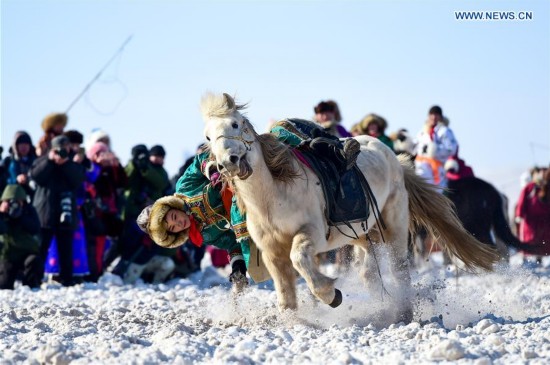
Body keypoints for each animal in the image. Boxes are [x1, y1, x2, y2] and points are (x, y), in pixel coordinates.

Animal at [202, 92, 500, 320]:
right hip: (363, 235)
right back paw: (382, 307)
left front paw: (330, 293)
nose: (227, 162)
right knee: (369, 274)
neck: (274, 195)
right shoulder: (271, 251)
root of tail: (395, 158)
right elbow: (285, 293)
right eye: (207, 136)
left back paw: (402, 314)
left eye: (236, 124)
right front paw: (293, 321)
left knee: (399, 271)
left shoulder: (311, 234)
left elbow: (299, 258)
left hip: (393, 227)